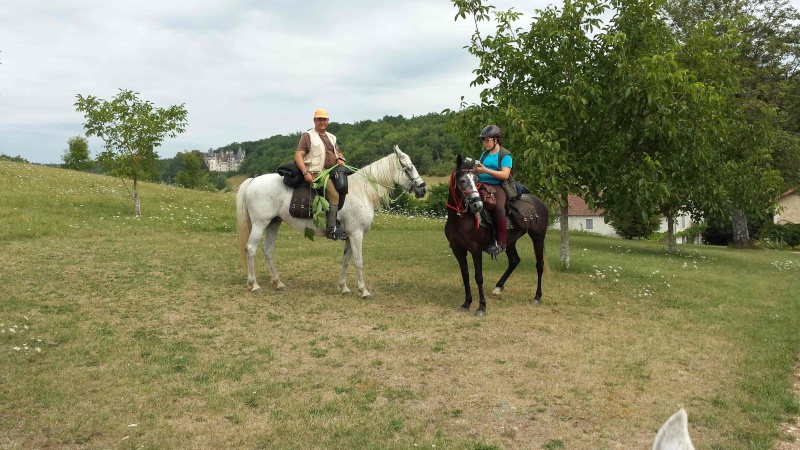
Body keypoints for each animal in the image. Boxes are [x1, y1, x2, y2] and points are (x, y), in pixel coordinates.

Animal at [236, 146, 428, 298]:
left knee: (268, 250)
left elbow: (346, 261)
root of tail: (253, 181)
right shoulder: (356, 234)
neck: (362, 191)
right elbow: (358, 261)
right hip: (260, 224)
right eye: (409, 168)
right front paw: (364, 291)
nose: (423, 189)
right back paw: (254, 284)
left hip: (273, 223)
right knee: (251, 249)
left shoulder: (349, 235)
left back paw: (278, 283)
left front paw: (344, 287)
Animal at [444, 156, 552, 314]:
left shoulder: (475, 250)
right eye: (462, 180)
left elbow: (478, 277)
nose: (477, 205)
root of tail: (541, 203)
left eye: (476, 179)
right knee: (514, 260)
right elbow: (465, 276)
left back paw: (537, 296)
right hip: (510, 241)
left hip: (538, 237)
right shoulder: (458, 249)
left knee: (539, 265)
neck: (460, 219)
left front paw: (482, 306)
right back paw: (498, 287)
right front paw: (466, 303)